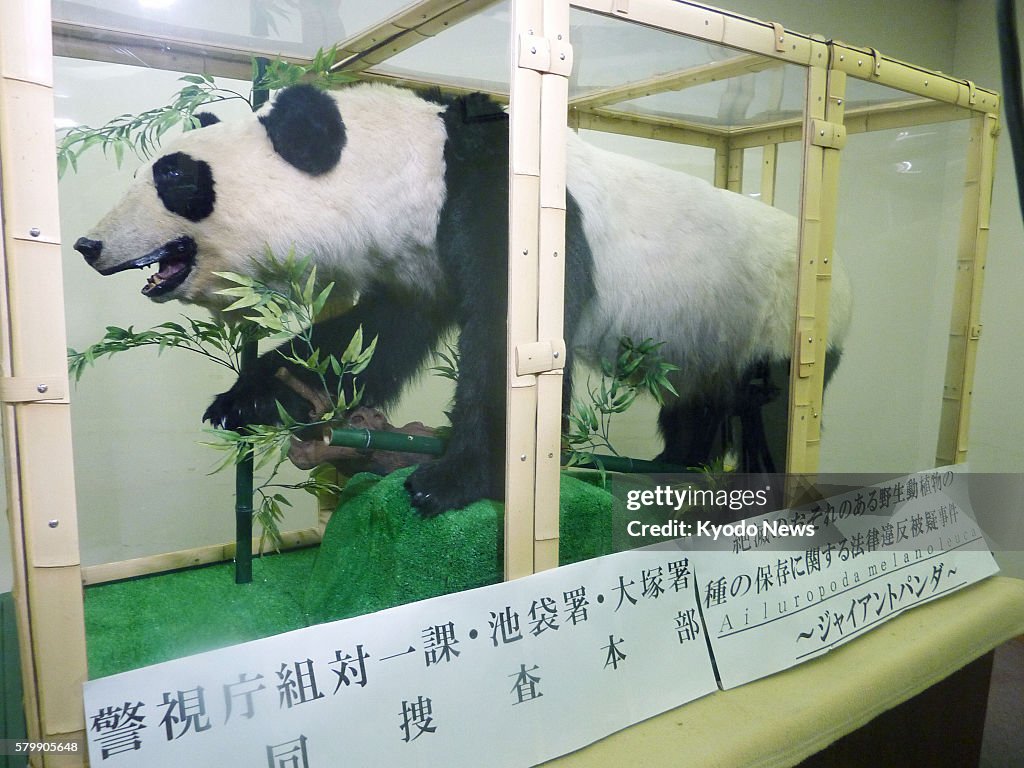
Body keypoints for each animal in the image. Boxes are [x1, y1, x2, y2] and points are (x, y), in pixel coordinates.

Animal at [74, 82, 856, 518]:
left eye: (175, 177)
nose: (87, 245)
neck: (418, 162)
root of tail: (838, 273)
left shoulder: (502, 203)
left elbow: (515, 340)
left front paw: (451, 480)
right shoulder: (415, 262)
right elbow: (371, 339)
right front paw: (246, 399)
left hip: (781, 321)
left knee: (772, 408)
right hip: (704, 344)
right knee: (694, 406)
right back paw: (672, 468)